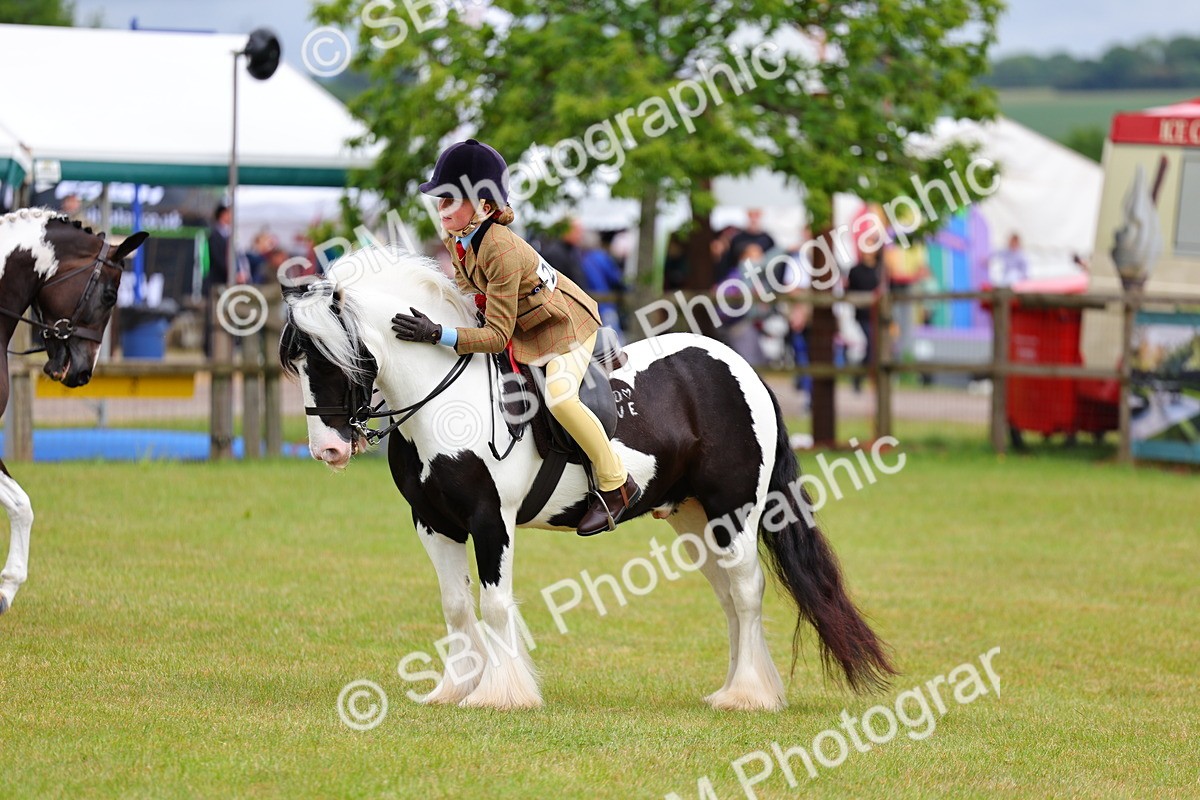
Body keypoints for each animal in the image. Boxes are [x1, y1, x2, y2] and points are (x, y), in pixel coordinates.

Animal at [280, 246, 894, 711]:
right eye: (298, 362)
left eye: (335, 357)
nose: (328, 448)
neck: (445, 401)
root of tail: (743, 369)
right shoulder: (433, 523)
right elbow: (456, 605)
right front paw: (455, 688)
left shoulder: (490, 520)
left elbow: (495, 604)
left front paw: (502, 695)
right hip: (694, 519)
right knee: (727, 596)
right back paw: (733, 689)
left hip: (733, 510)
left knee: (746, 590)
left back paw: (747, 696)